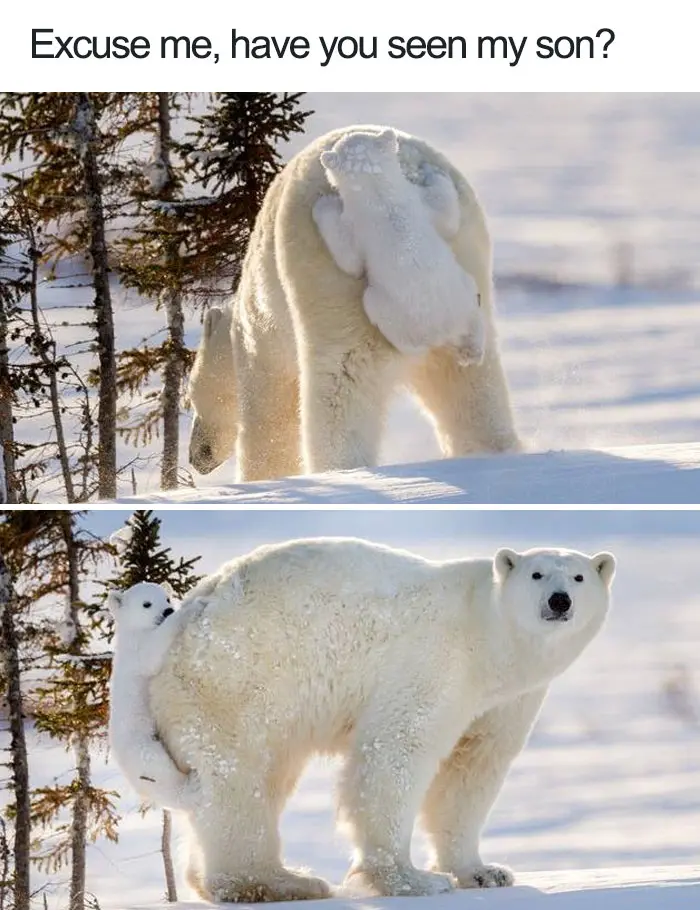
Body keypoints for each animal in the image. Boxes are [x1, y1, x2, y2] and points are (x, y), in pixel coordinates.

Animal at [108, 584, 202, 812]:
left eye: (166, 598)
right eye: (146, 604)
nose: (168, 610)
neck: (131, 633)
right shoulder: (137, 651)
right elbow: (152, 651)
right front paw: (192, 607)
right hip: (141, 745)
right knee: (160, 772)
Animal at [148, 536, 612, 900]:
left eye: (579, 577)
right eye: (536, 574)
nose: (559, 601)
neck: (489, 637)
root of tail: (187, 615)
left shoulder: (507, 699)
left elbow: (472, 769)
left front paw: (484, 872)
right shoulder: (435, 660)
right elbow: (398, 750)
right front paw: (412, 879)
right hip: (236, 681)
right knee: (240, 779)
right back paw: (278, 881)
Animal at [314, 127, 484, 366]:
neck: (381, 197)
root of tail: (446, 330)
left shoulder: (358, 226)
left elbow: (350, 261)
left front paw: (324, 203)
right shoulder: (418, 203)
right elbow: (446, 217)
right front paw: (433, 172)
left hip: (391, 312)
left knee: (379, 312)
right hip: (464, 293)